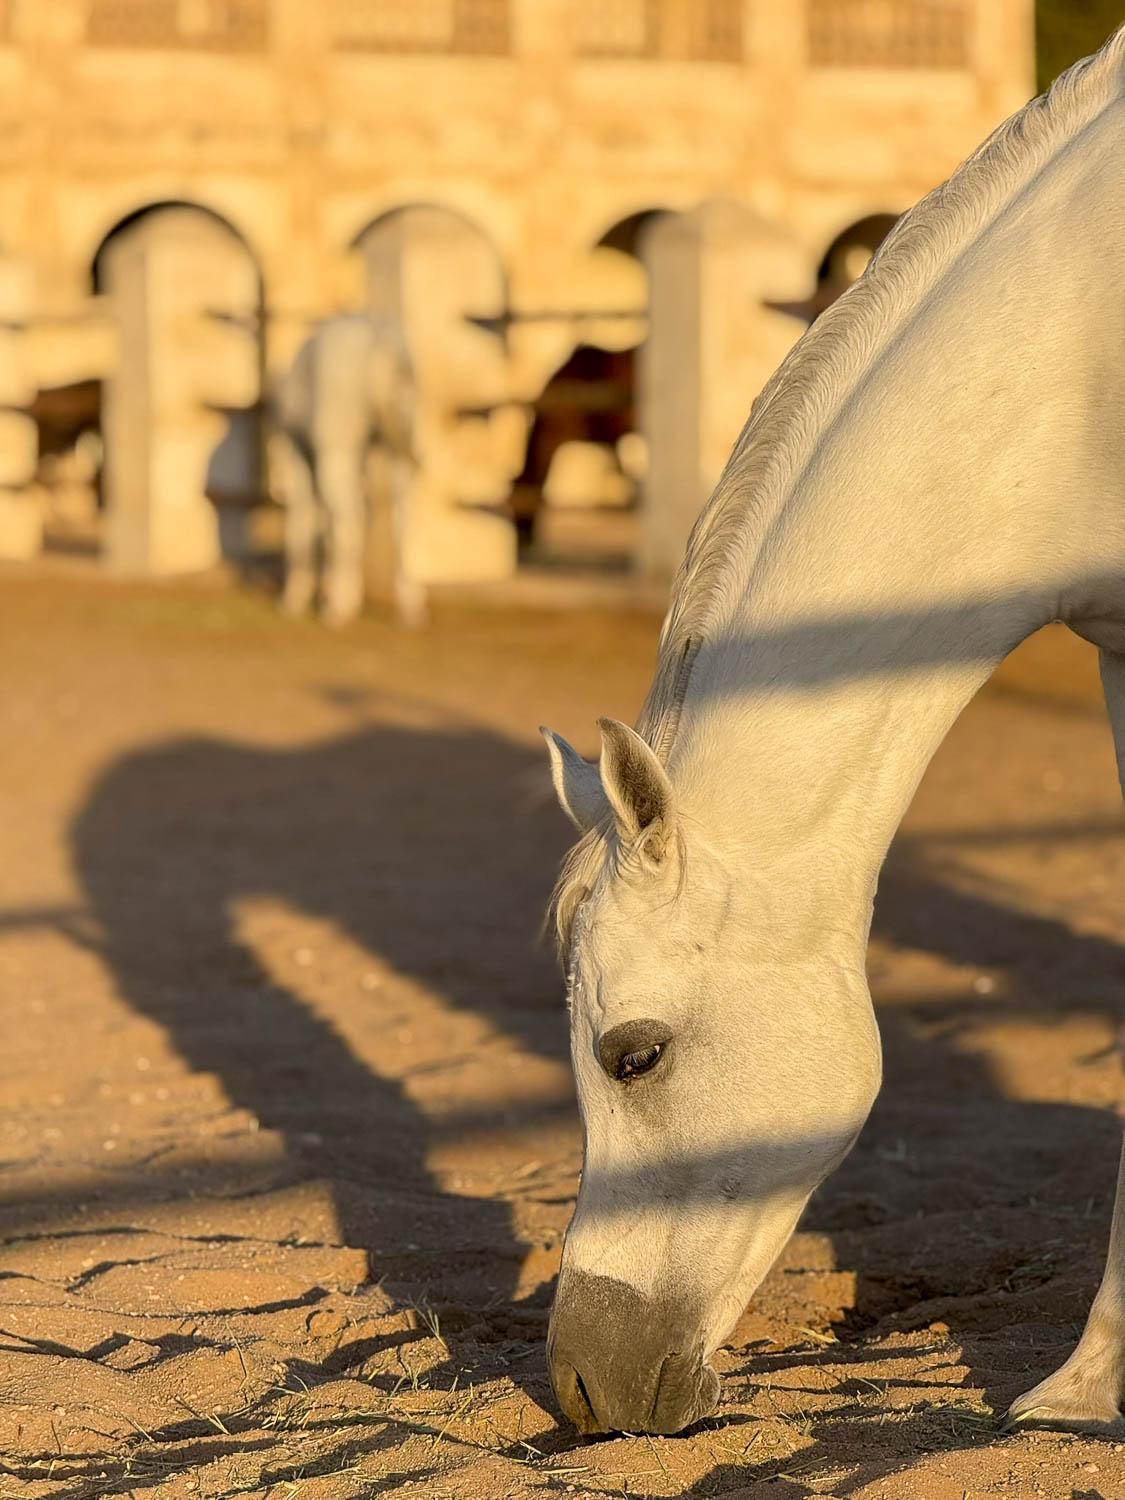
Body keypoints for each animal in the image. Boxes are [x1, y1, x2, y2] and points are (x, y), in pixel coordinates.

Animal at [272, 313, 421, 626]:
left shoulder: (298, 457)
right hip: (400, 439)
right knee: (403, 520)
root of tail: (379, 337)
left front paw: (295, 597)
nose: (277, 489)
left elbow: (300, 525)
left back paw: (339, 608)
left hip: (336, 448)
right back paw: (409, 606)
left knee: (347, 519)